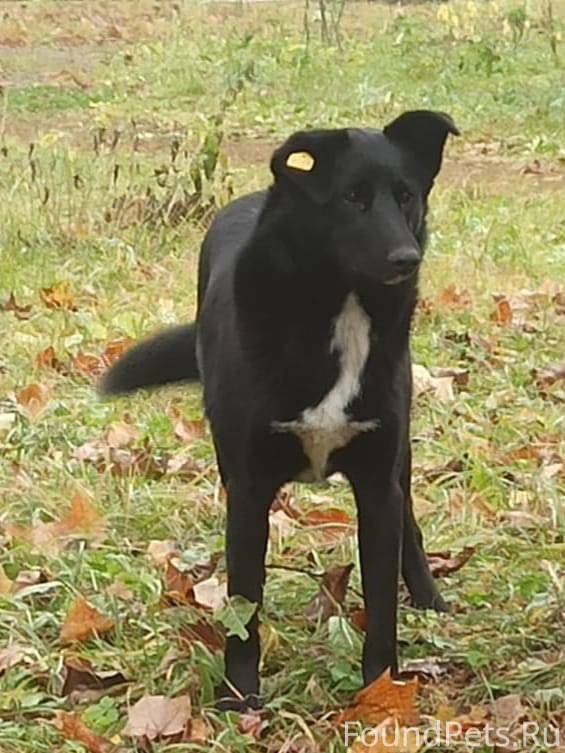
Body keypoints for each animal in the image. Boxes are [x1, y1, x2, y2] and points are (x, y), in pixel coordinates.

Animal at [101, 110, 459, 710]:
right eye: (352, 198)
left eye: (407, 196)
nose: (406, 259)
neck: (342, 312)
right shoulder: (248, 490)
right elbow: (245, 604)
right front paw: (238, 698)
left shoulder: (377, 482)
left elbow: (382, 604)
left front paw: (379, 691)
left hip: (400, 459)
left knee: (409, 519)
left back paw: (429, 594)